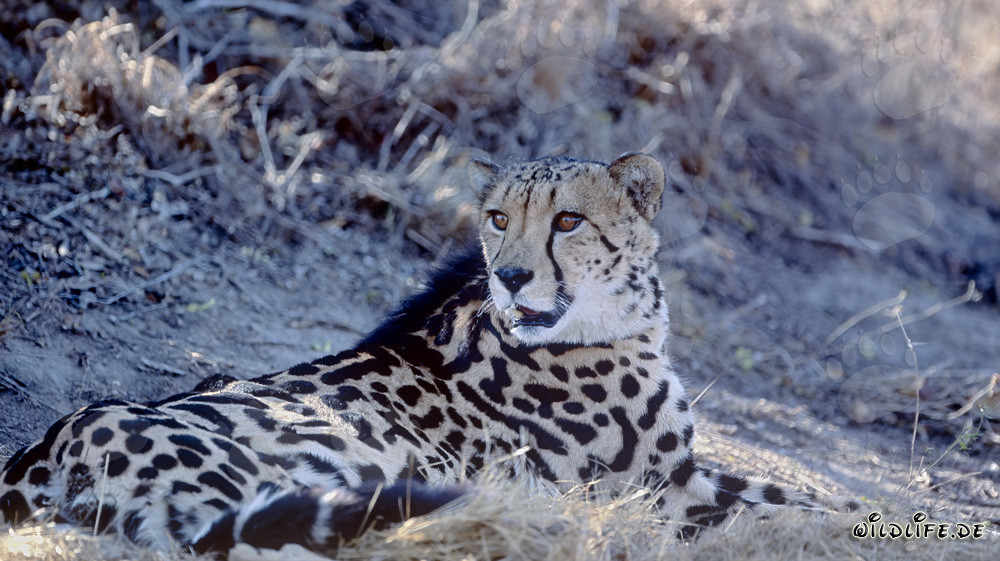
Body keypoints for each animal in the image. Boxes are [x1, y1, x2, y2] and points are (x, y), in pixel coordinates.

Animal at [0, 153, 795, 556]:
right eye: (498, 217)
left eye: (569, 221)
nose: (512, 275)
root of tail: (45, 449)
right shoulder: (657, 490)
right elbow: (789, 507)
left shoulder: (684, 475)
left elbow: (787, 494)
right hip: (329, 463)